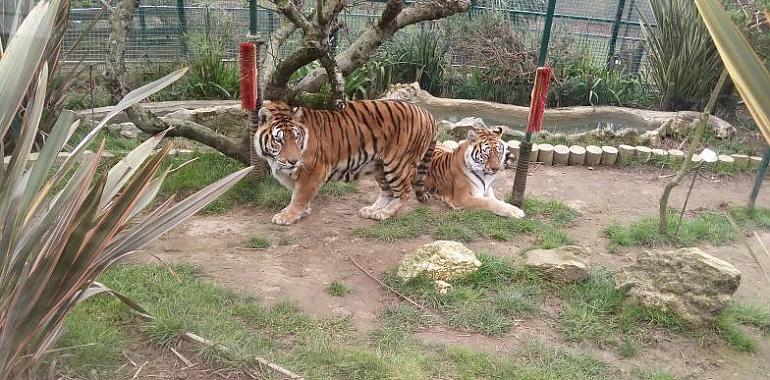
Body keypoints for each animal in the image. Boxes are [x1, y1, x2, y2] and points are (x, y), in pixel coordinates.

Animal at [255, 99, 436, 226]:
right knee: (388, 192)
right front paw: (300, 211)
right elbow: (297, 193)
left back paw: (384, 214)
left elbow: (300, 195)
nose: (294, 161)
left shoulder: (314, 170)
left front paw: (288, 216)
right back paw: (371, 210)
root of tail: (427, 112)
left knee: (404, 192)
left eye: (296, 137)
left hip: (397, 163)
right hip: (379, 166)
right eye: (279, 140)